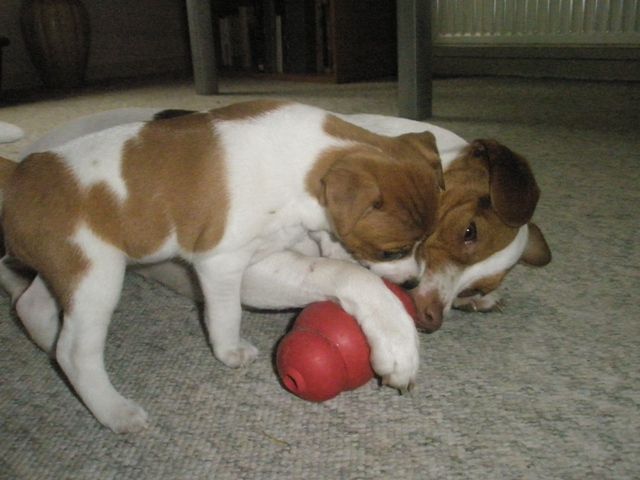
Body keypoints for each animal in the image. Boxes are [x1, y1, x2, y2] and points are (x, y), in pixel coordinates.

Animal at [0, 99, 444, 434]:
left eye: (429, 238)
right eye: (392, 251)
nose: (412, 282)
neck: (303, 159)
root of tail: (19, 173)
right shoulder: (224, 262)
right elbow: (227, 312)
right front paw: (229, 351)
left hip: (71, 271)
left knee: (33, 307)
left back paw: (48, 345)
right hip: (98, 278)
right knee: (76, 352)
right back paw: (115, 411)